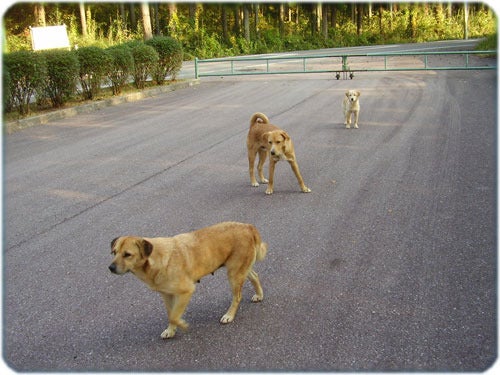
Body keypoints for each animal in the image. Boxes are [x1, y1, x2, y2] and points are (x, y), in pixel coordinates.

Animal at [108, 222, 268, 340]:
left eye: (127, 254)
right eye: (114, 252)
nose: (110, 268)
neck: (156, 259)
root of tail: (248, 226)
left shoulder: (186, 291)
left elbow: (174, 316)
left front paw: (182, 325)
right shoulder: (167, 294)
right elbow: (171, 314)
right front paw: (171, 330)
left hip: (234, 273)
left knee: (237, 296)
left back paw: (229, 315)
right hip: (240, 270)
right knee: (255, 276)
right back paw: (259, 295)